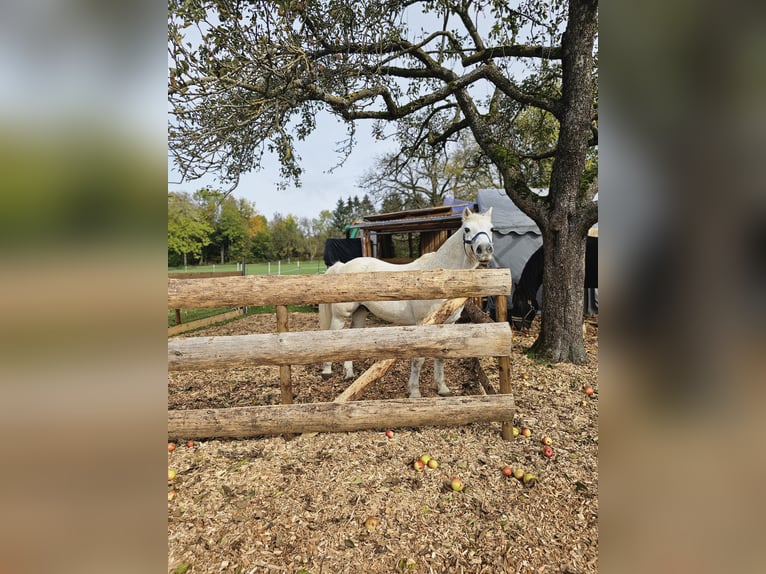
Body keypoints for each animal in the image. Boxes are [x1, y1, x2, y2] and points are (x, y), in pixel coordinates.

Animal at [320, 208, 496, 400]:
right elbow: (418, 359)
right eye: (467, 229)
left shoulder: (447, 324)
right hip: (340, 315)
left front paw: (442, 388)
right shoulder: (423, 324)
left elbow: (440, 357)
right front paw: (414, 392)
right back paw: (327, 372)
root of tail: (342, 267)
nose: (484, 250)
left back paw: (349, 374)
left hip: (360, 312)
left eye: (491, 229)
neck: (439, 280)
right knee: (332, 336)